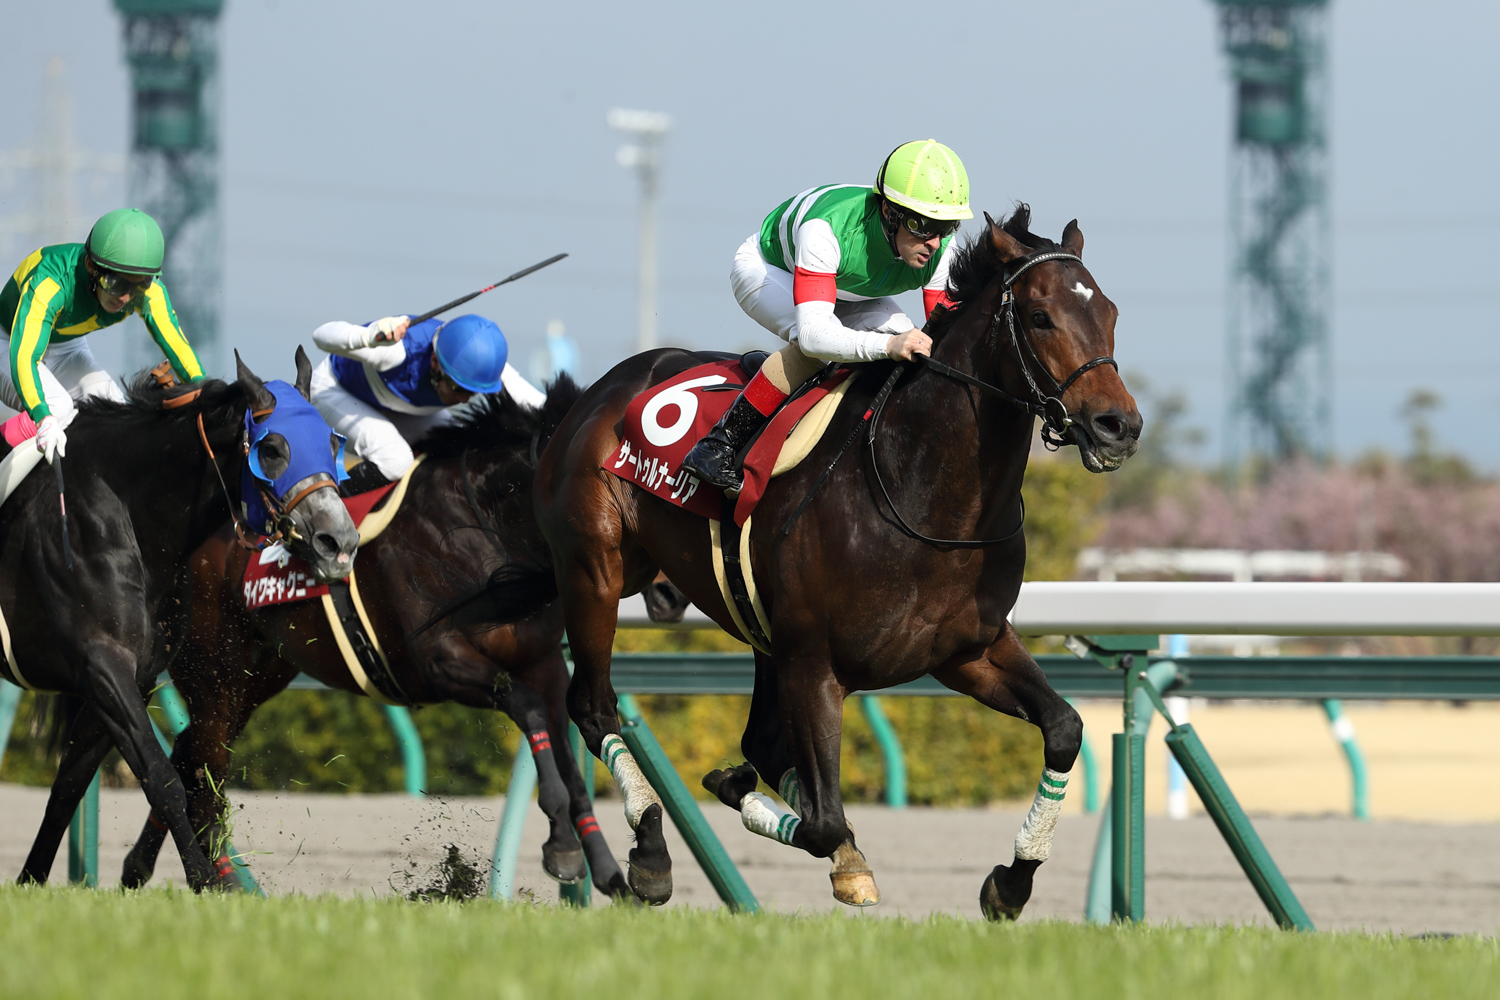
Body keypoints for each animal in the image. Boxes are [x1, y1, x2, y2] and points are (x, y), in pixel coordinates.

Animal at [4, 353, 358, 893]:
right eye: (273, 449)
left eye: (331, 442)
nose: (340, 542)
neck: (123, 509)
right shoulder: (103, 665)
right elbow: (163, 778)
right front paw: (205, 880)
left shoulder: (133, 676)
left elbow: (69, 784)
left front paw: (29, 881)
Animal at [474, 206, 1140, 917]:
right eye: (1040, 316)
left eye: (1111, 312)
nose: (1118, 426)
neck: (918, 489)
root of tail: (595, 394)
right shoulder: (814, 661)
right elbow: (820, 818)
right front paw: (759, 807)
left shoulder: (967, 649)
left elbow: (1065, 727)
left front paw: (1011, 883)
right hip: (594, 572)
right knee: (595, 706)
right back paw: (651, 851)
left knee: (758, 742)